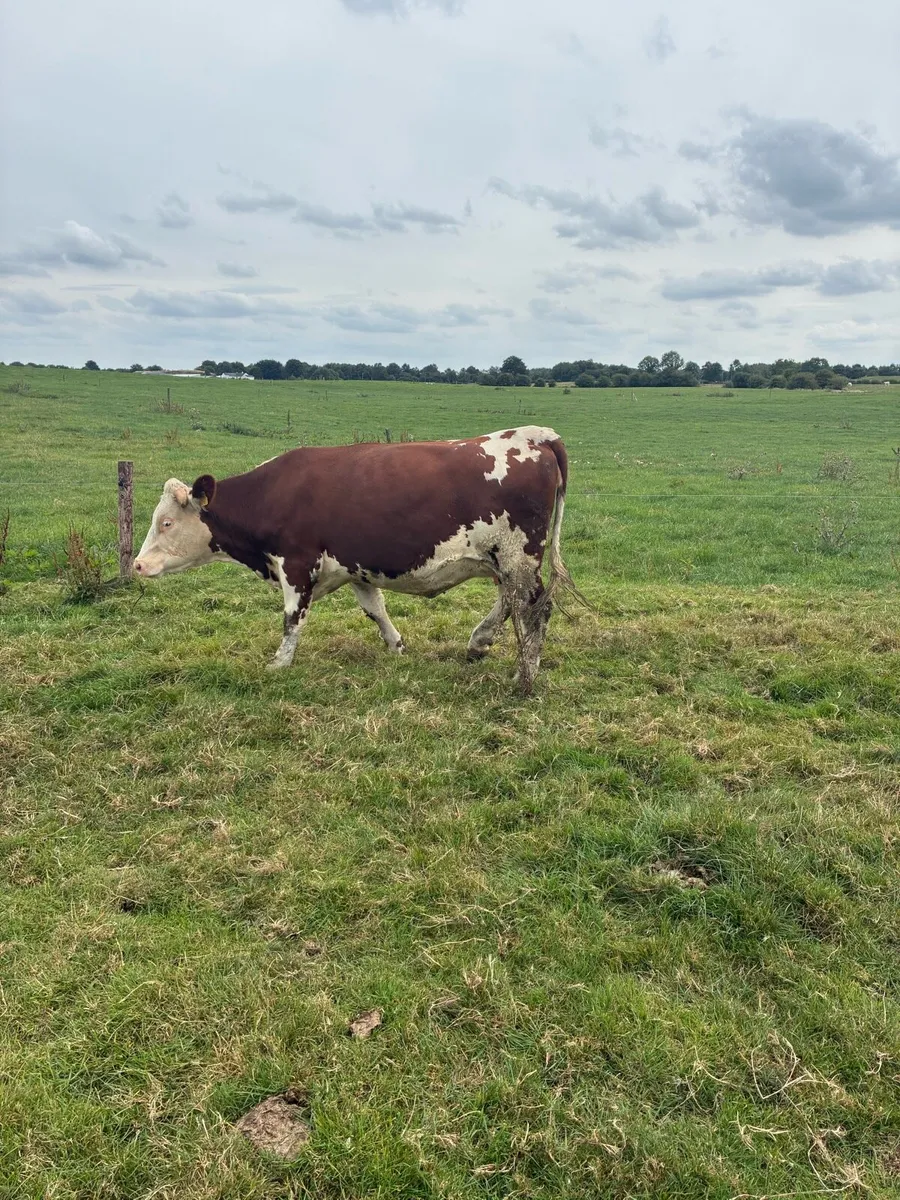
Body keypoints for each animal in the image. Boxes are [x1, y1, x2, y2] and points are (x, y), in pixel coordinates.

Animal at [133, 425, 582, 693]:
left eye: (167, 523)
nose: (137, 565)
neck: (272, 495)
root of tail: (537, 435)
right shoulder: (357, 567)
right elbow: (374, 609)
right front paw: (396, 646)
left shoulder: (296, 565)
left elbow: (292, 620)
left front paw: (279, 664)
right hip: (505, 560)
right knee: (510, 601)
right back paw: (479, 642)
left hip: (518, 555)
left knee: (534, 609)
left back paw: (524, 676)